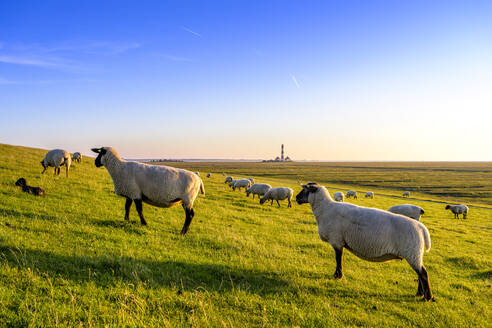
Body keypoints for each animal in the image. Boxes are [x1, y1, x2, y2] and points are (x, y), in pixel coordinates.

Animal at [294, 183, 432, 302]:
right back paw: (419, 293)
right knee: (420, 273)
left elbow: (338, 259)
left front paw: (337, 275)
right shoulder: (339, 241)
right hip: (415, 253)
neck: (325, 209)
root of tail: (422, 228)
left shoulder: (336, 240)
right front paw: (338, 275)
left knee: (423, 274)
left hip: (412, 252)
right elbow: (339, 258)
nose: (296, 198)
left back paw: (427, 297)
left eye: (305, 189)